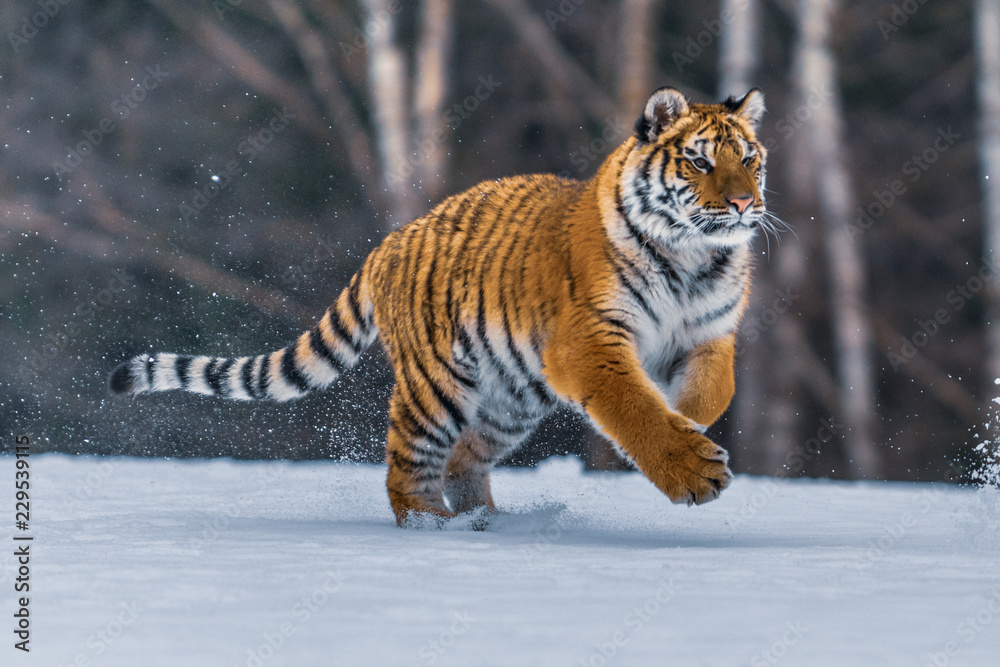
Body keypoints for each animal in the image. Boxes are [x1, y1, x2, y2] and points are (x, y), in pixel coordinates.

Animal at [110, 87, 769, 527]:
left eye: (749, 159)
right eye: (700, 161)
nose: (743, 204)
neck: (693, 258)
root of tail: (390, 240)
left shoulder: (708, 337)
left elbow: (713, 393)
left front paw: (688, 421)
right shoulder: (590, 340)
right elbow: (633, 406)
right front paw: (692, 470)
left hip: (513, 399)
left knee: (462, 459)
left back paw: (487, 522)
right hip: (438, 384)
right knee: (408, 464)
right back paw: (433, 527)